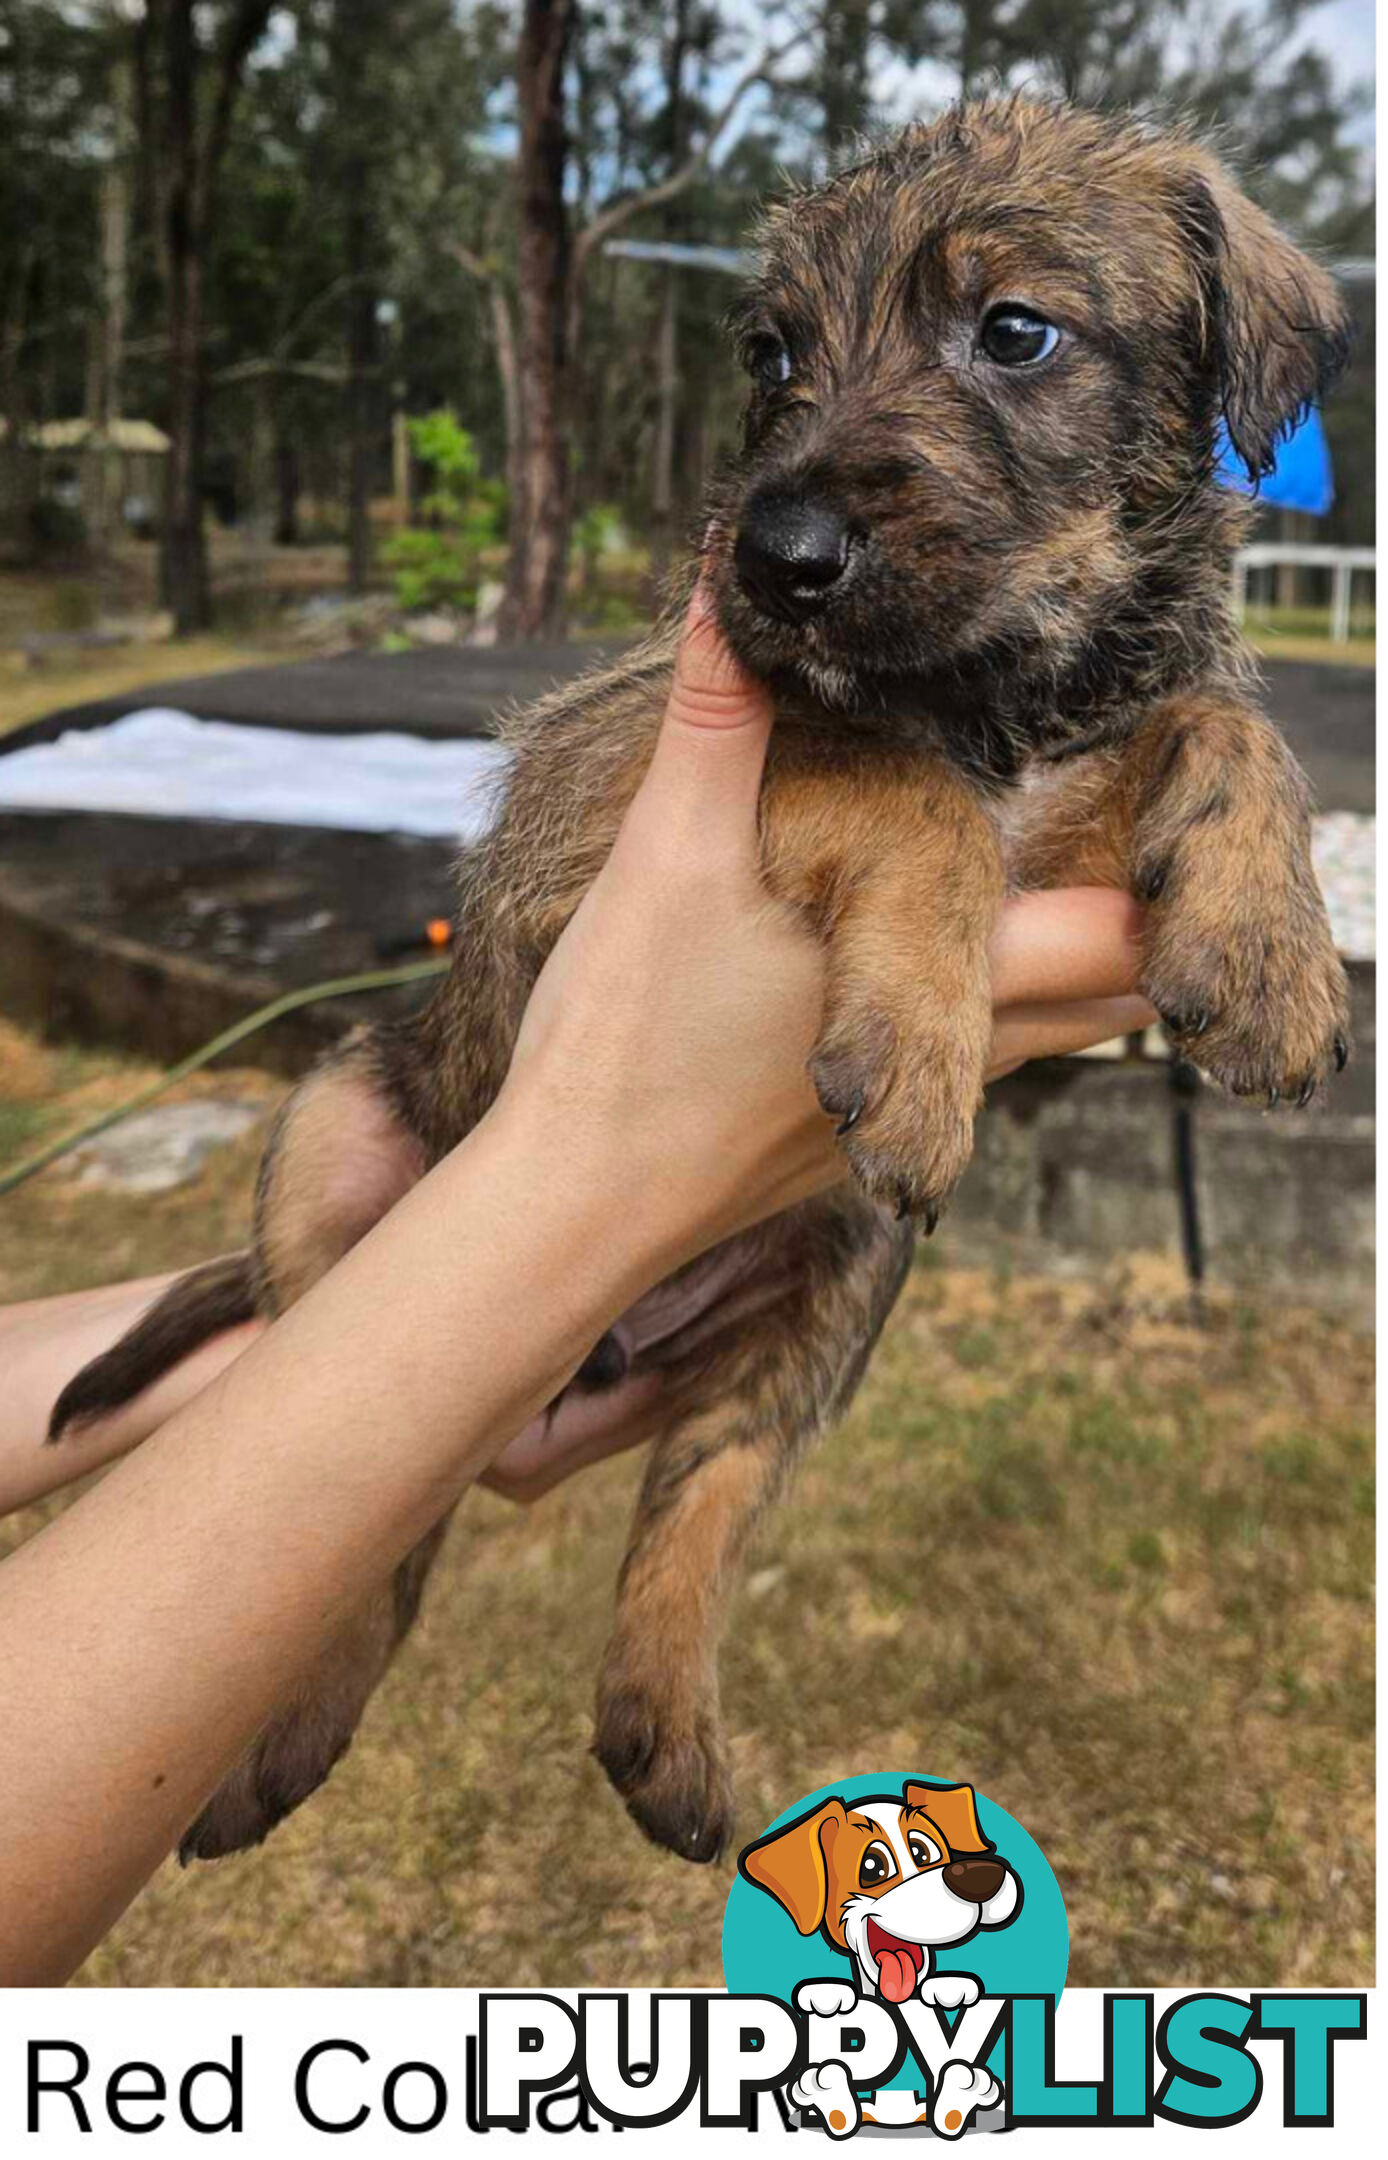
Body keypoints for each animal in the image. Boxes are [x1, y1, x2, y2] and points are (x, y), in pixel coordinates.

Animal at [56, 97, 1355, 1857]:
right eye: (771, 353)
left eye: (1015, 332)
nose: (775, 553)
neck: (1001, 685)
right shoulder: (650, 775)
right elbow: (902, 778)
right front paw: (923, 1045)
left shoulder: (1080, 800)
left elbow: (1223, 725)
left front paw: (1274, 954)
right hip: (330, 1149)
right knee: (367, 1527)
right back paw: (284, 1746)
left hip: (843, 1280)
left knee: (706, 1492)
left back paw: (668, 1743)